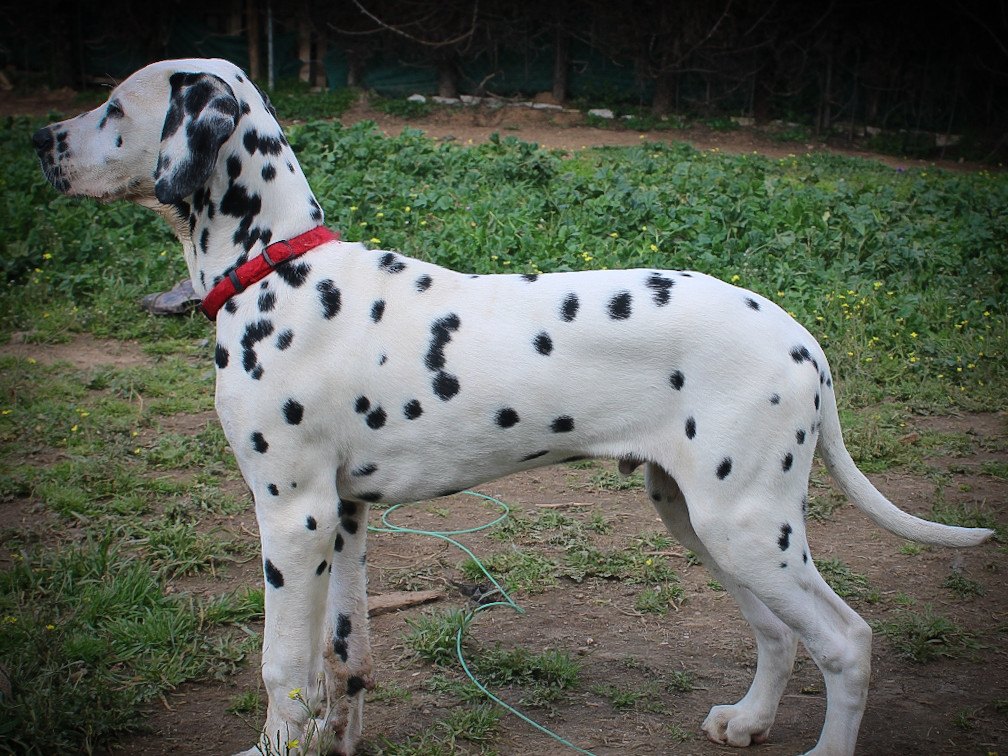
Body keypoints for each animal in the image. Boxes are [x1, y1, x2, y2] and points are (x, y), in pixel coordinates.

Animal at [33, 58, 992, 756]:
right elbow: (345, 659)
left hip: (747, 528)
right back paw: (749, 721)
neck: (280, 269)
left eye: (114, 105)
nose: (40, 137)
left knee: (847, 641)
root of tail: (802, 338)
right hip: (702, 521)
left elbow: (283, 668)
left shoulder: (292, 516)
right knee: (779, 634)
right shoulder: (343, 517)